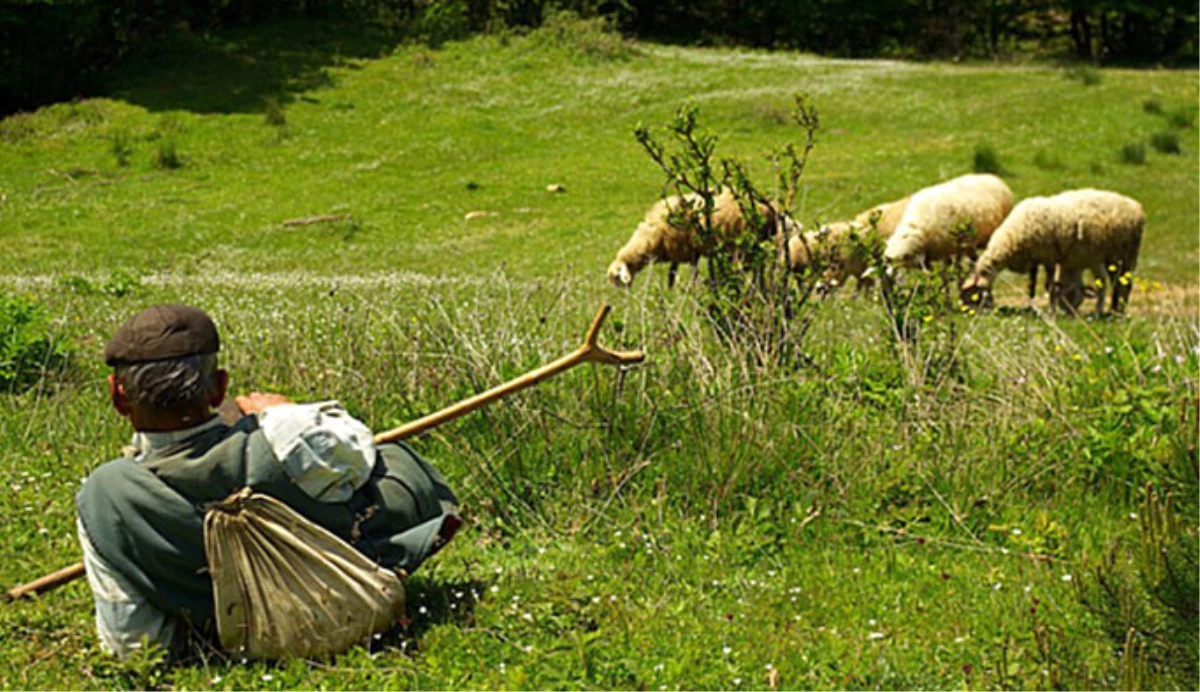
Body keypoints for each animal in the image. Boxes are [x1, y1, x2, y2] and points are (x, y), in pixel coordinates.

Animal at [604, 187, 782, 287]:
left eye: (617, 279)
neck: (651, 237)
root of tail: (769, 208)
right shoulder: (682, 254)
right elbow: (672, 277)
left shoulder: (689, 252)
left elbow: (691, 277)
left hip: (746, 243)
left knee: (756, 268)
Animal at [883, 172, 1012, 267]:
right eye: (888, 260)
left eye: (897, 260)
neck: (918, 228)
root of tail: (992, 177)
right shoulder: (938, 250)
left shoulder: (946, 246)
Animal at [955, 187, 1142, 314]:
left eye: (971, 294)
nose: (965, 311)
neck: (1010, 238)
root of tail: (1136, 208)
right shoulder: (1034, 258)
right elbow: (1032, 285)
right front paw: (1032, 307)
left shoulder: (1049, 257)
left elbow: (1049, 286)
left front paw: (1050, 310)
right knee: (1119, 282)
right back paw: (1114, 310)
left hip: (1125, 254)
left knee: (1124, 283)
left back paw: (1117, 311)